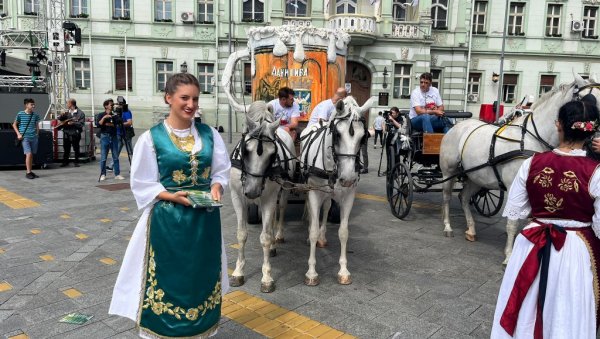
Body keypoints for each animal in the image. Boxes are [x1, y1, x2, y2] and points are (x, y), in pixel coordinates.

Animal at [229, 101, 296, 292]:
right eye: (245, 150)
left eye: (272, 154)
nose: (252, 191)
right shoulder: (237, 196)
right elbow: (241, 234)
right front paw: (238, 272)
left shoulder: (269, 198)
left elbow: (265, 238)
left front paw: (266, 277)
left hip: (283, 191)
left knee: (280, 209)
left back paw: (277, 237)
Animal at [300, 96, 370, 286]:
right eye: (338, 134)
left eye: (363, 137)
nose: (348, 178)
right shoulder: (314, 192)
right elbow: (313, 230)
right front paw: (311, 272)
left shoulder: (348, 196)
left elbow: (343, 232)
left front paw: (343, 271)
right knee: (311, 212)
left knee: (325, 208)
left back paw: (322, 237)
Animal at [438, 75, 600, 266]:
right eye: (591, 101)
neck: (532, 138)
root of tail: (457, 126)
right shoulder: (515, 188)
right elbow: (513, 223)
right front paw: (509, 256)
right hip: (449, 172)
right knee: (447, 197)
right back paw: (447, 226)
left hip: (476, 176)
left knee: (464, 197)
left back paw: (471, 229)